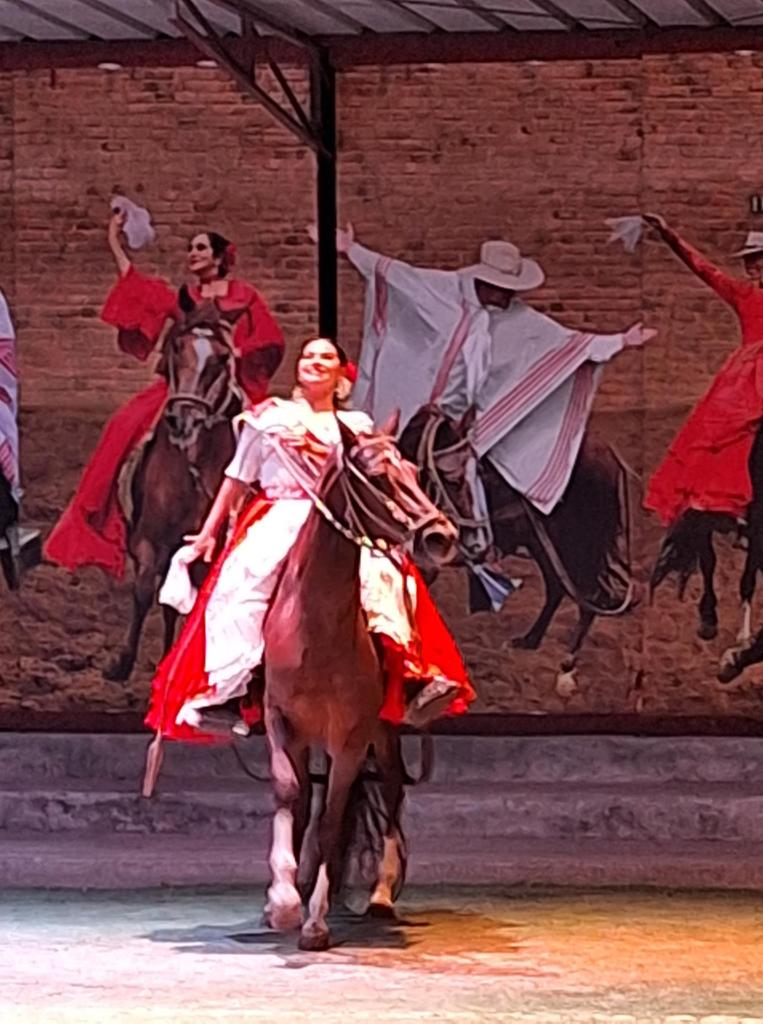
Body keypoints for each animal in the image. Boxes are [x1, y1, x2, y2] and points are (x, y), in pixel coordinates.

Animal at [105, 301, 243, 681]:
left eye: (222, 359)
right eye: (177, 347)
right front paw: (122, 662)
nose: (185, 419)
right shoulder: (148, 541)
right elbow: (144, 591)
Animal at [262, 415, 458, 951]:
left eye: (413, 470)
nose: (441, 536)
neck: (315, 631)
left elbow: (332, 819)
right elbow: (291, 796)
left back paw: (381, 893)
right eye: (376, 475)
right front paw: (282, 901)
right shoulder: (280, 720)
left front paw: (313, 921)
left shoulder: (351, 735)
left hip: (382, 732)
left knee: (390, 789)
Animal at [398, 406, 635, 695]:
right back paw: (530, 640)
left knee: (587, 600)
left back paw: (566, 668)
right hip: (543, 545)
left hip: (579, 546)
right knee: (557, 588)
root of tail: (608, 455)